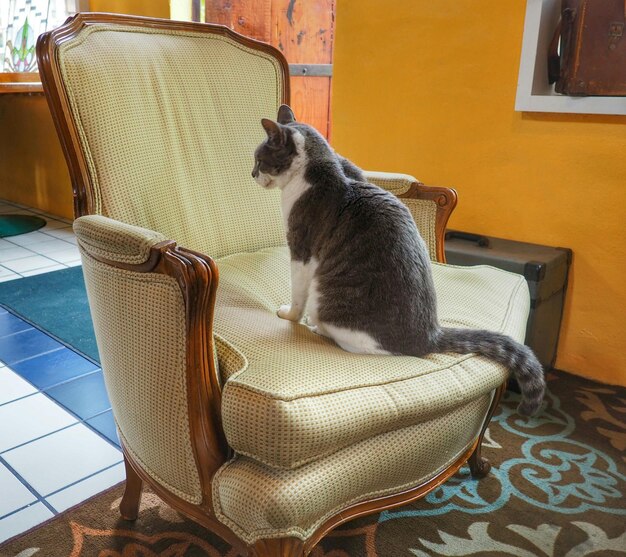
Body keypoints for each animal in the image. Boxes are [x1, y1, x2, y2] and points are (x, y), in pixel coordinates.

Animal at [251, 106, 544, 414]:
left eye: (260, 160)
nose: (252, 173)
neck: (323, 166)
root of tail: (430, 336)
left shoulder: (301, 248)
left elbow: (297, 294)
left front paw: (290, 315)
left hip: (328, 303)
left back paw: (317, 326)